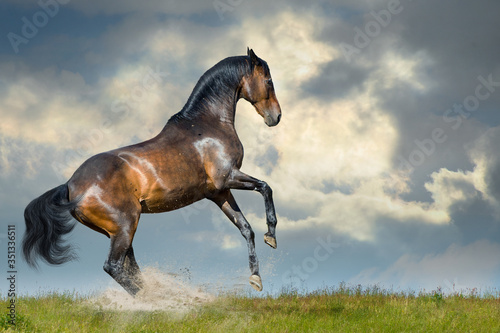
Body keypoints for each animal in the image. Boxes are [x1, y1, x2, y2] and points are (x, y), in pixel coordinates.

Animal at [22, 48, 282, 294]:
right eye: (268, 80)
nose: (276, 117)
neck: (209, 125)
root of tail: (70, 185)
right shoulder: (228, 177)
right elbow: (266, 187)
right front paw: (271, 236)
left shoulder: (219, 193)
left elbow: (246, 228)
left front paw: (256, 278)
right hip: (126, 225)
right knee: (114, 266)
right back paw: (151, 300)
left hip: (116, 231)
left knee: (130, 265)